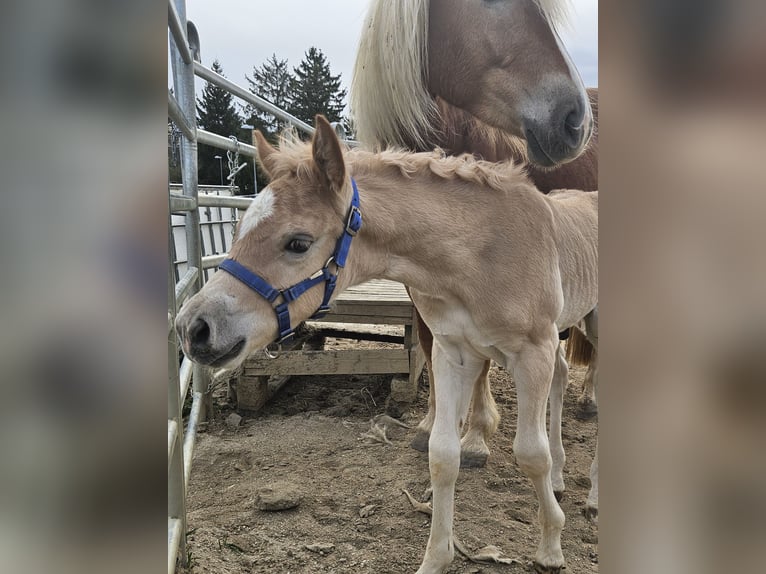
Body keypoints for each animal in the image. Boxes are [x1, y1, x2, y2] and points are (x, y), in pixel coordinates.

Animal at [352, 0, 600, 496]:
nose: (575, 120)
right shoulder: (422, 287)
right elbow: (430, 344)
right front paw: (431, 425)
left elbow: (482, 363)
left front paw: (475, 438)